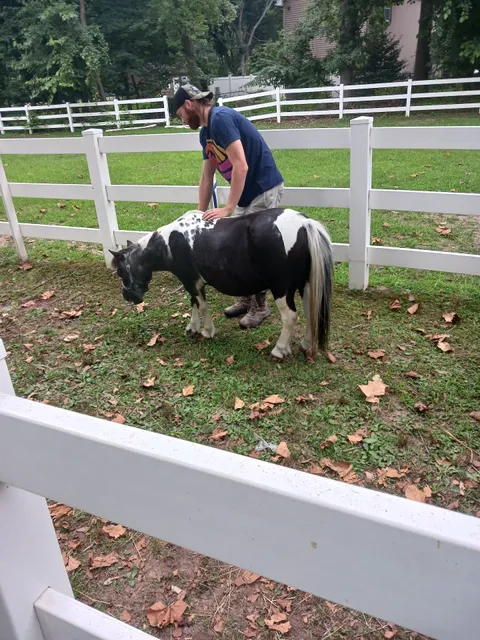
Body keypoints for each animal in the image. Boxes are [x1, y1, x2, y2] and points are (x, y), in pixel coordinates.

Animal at [110, 208, 333, 360]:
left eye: (120, 271)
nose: (128, 296)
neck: (170, 242)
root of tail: (305, 224)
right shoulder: (192, 282)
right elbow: (193, 304)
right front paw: (192, 327)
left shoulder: (191, 281)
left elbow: (202, 306)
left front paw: (207, 331)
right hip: (306, 286)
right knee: (311, 312)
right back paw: (306, 344)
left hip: (281, 289)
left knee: (290, 317)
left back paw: (279, 349)